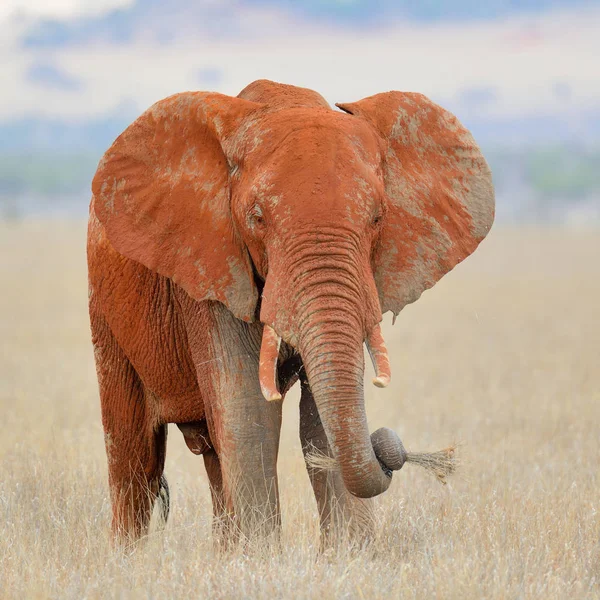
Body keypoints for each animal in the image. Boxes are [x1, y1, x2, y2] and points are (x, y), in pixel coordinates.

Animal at [86, 78, 494, 544]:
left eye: (378, 218)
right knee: (134, 457)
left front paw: (350, 553)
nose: (389, 447)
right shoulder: (215, 267)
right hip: (106, 311)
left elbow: (318, 423)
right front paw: (261, 556)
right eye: (256, 218)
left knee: (211, 458)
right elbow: (250, 415)